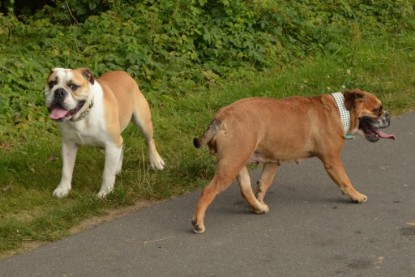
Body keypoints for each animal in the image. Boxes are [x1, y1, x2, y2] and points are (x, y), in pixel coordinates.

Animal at [192, 89, 396, 232]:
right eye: (378, 110)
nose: (388, 116)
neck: (340, 111)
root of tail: (222, 116)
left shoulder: (272, 162)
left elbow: (263, 183)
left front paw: (261, 199)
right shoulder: (332, 160)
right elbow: (345, 181)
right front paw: (356, 196)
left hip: (237, 161)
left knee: (245, 189)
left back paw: (258, 207)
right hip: (230, 165)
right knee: (208, 191)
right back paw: (198, 223)